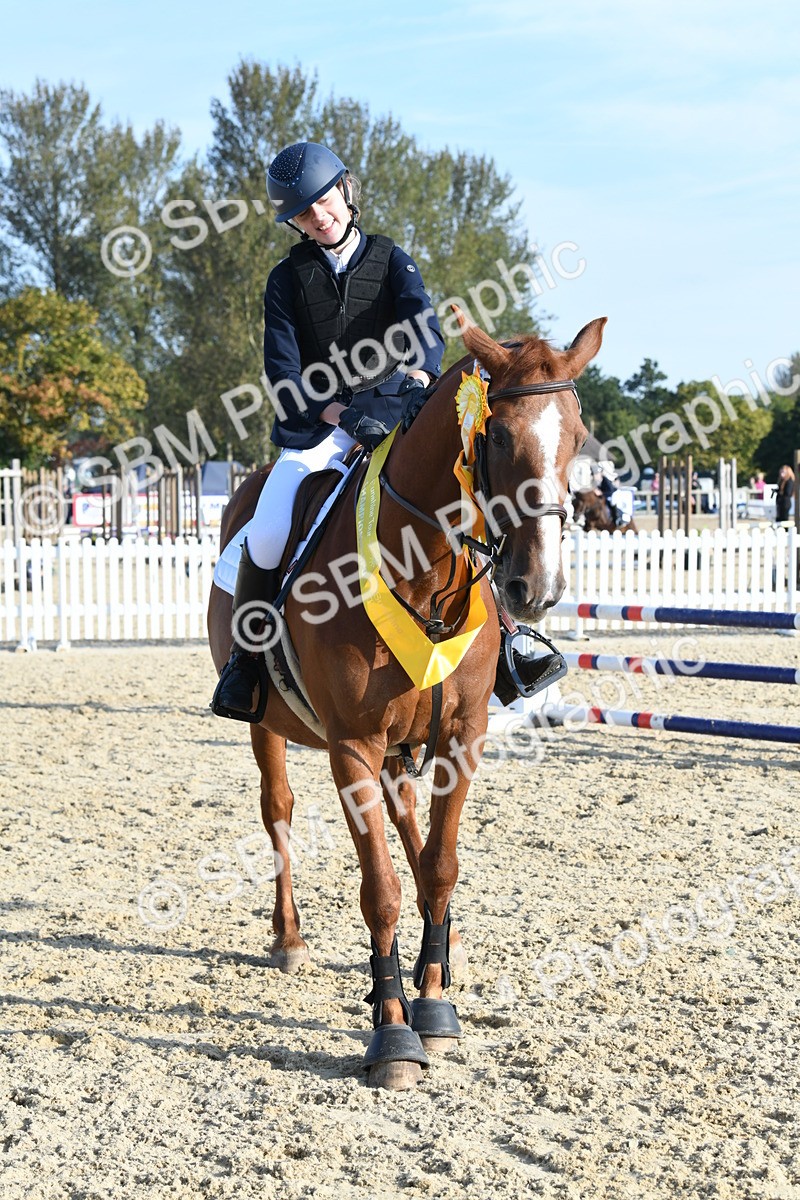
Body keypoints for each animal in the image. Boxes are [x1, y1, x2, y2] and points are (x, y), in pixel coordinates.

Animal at [207, 311, 604, 1089]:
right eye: (498, 437)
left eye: (575, 436)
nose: (537, 587)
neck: (423, 572)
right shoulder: (352, 747)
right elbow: (380, 890)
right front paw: (392, 1034)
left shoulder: (460, 735)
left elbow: (440, 866)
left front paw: (436, 1002)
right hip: (273, 728)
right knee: (279, 812)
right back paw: (289, 938)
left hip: (404, 745)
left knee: (408, 822)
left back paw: (442, 953)